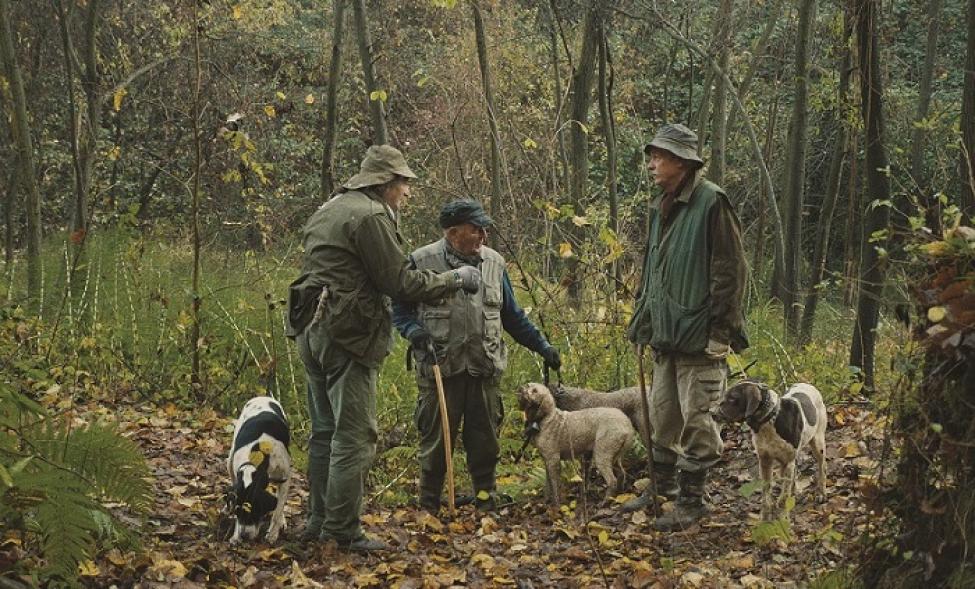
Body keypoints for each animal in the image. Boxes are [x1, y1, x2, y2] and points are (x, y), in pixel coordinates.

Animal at [227, 396, 292, 544]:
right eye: (237, 511)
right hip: (229, 460)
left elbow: (278, 510)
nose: (244, 536)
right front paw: (235, 535)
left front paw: (273, 534)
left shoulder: (285, 478)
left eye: (255, 511)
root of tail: (263, 397)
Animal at [720, 382, 828, 520]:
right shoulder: (765, 461)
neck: (768, 421)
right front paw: (765, 517)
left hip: (817, 443)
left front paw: (783, 517)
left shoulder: (788, 462)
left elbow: (784, 497)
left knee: (822, 467)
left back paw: (822, 493)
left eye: (732, 398)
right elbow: (766, 492)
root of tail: (808, 384)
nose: (712, 411)